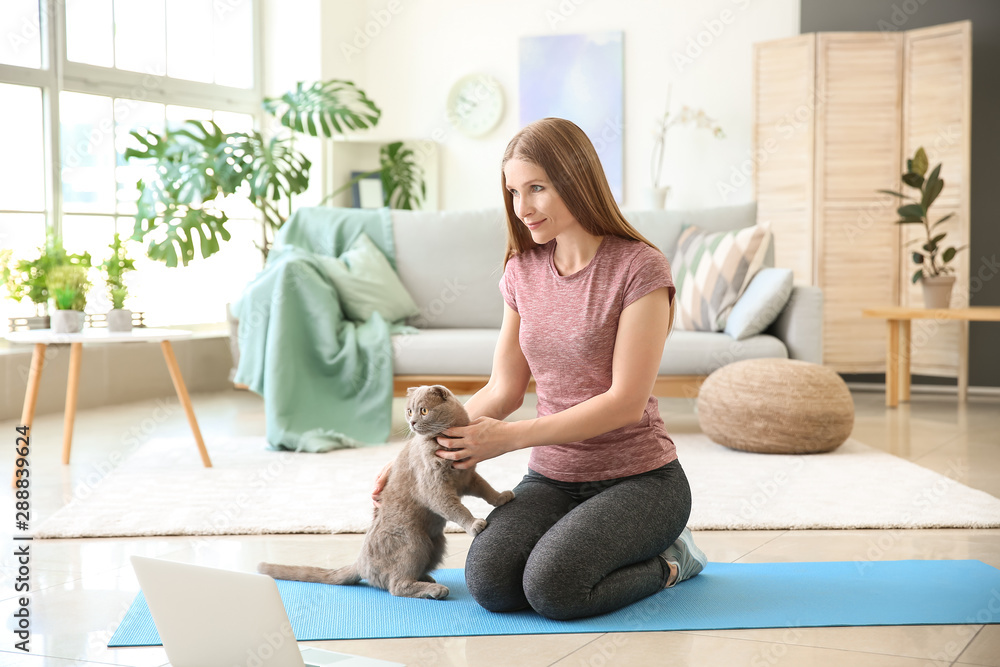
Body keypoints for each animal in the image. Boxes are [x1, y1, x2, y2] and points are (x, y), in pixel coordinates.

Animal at [258, 386, 516, 600]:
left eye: (423, 410)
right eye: (409, 411)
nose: (413, 422)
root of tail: (360, 563)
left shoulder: (468, 477)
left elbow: (485, 488)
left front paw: (502, 497)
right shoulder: (435, 488)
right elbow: (456, 507)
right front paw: (474, 525)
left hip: (436, 542)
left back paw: (427, 578)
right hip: (413, 541)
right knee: (396, 585)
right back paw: (435, 590)